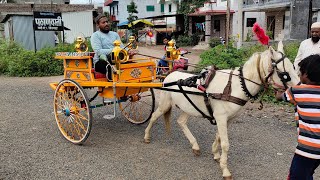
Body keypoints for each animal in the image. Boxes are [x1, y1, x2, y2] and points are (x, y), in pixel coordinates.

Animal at [144, 41, 298, 179]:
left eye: (294, 67)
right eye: (285, 74)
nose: (299, 86)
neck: (235, 86)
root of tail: (169, 75)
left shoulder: (228, 119)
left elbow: (219, 136)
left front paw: (216, 154)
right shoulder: (221, 117)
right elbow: (225, 144)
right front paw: (225, 169)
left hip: (188, 107)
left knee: (181, 122)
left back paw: (195, 145)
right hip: (165, 103)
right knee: (154, 116)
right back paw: (146, 136)